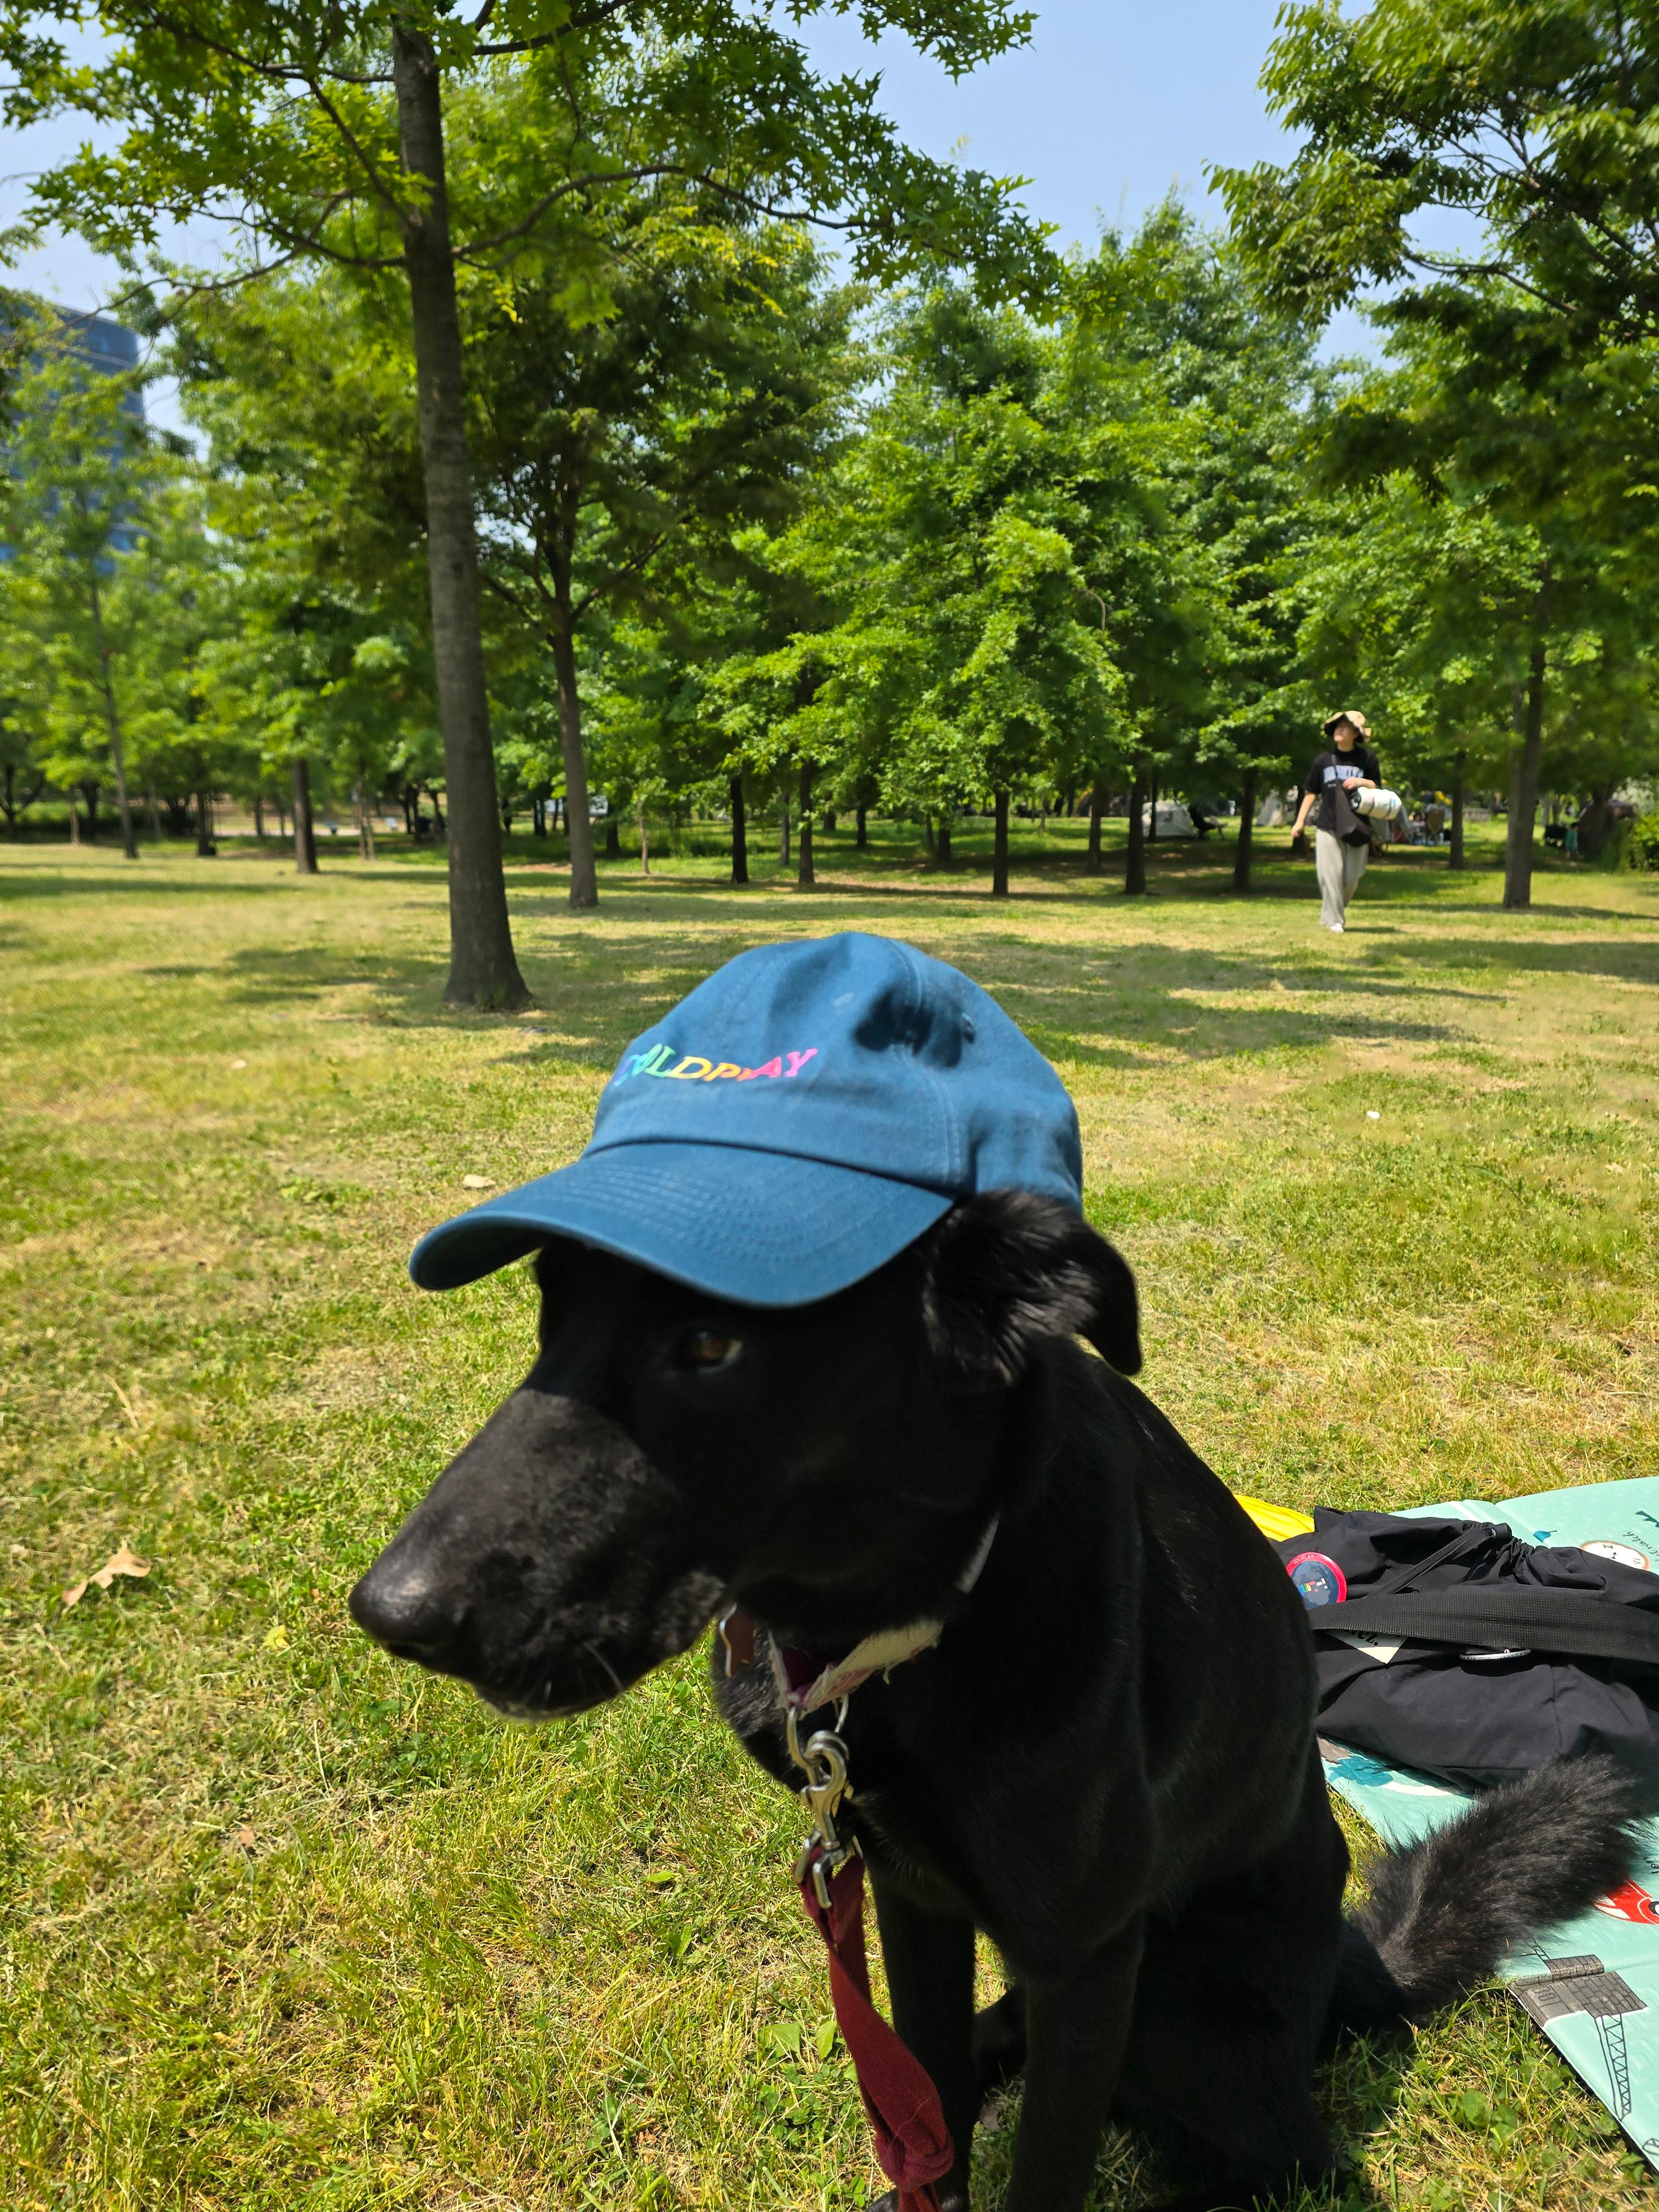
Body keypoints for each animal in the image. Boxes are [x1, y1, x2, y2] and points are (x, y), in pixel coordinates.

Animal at [350, 1186, 1642, 2211]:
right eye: (548, 1315)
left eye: (711, 1343)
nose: (387, 1613)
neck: (911, 1624)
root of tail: (1354, 1968)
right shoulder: (912, 1892)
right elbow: (934, 2115)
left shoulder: (1087, 1959)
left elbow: (1044, 2175)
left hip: (1178, 1998)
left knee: (1283, 2161)